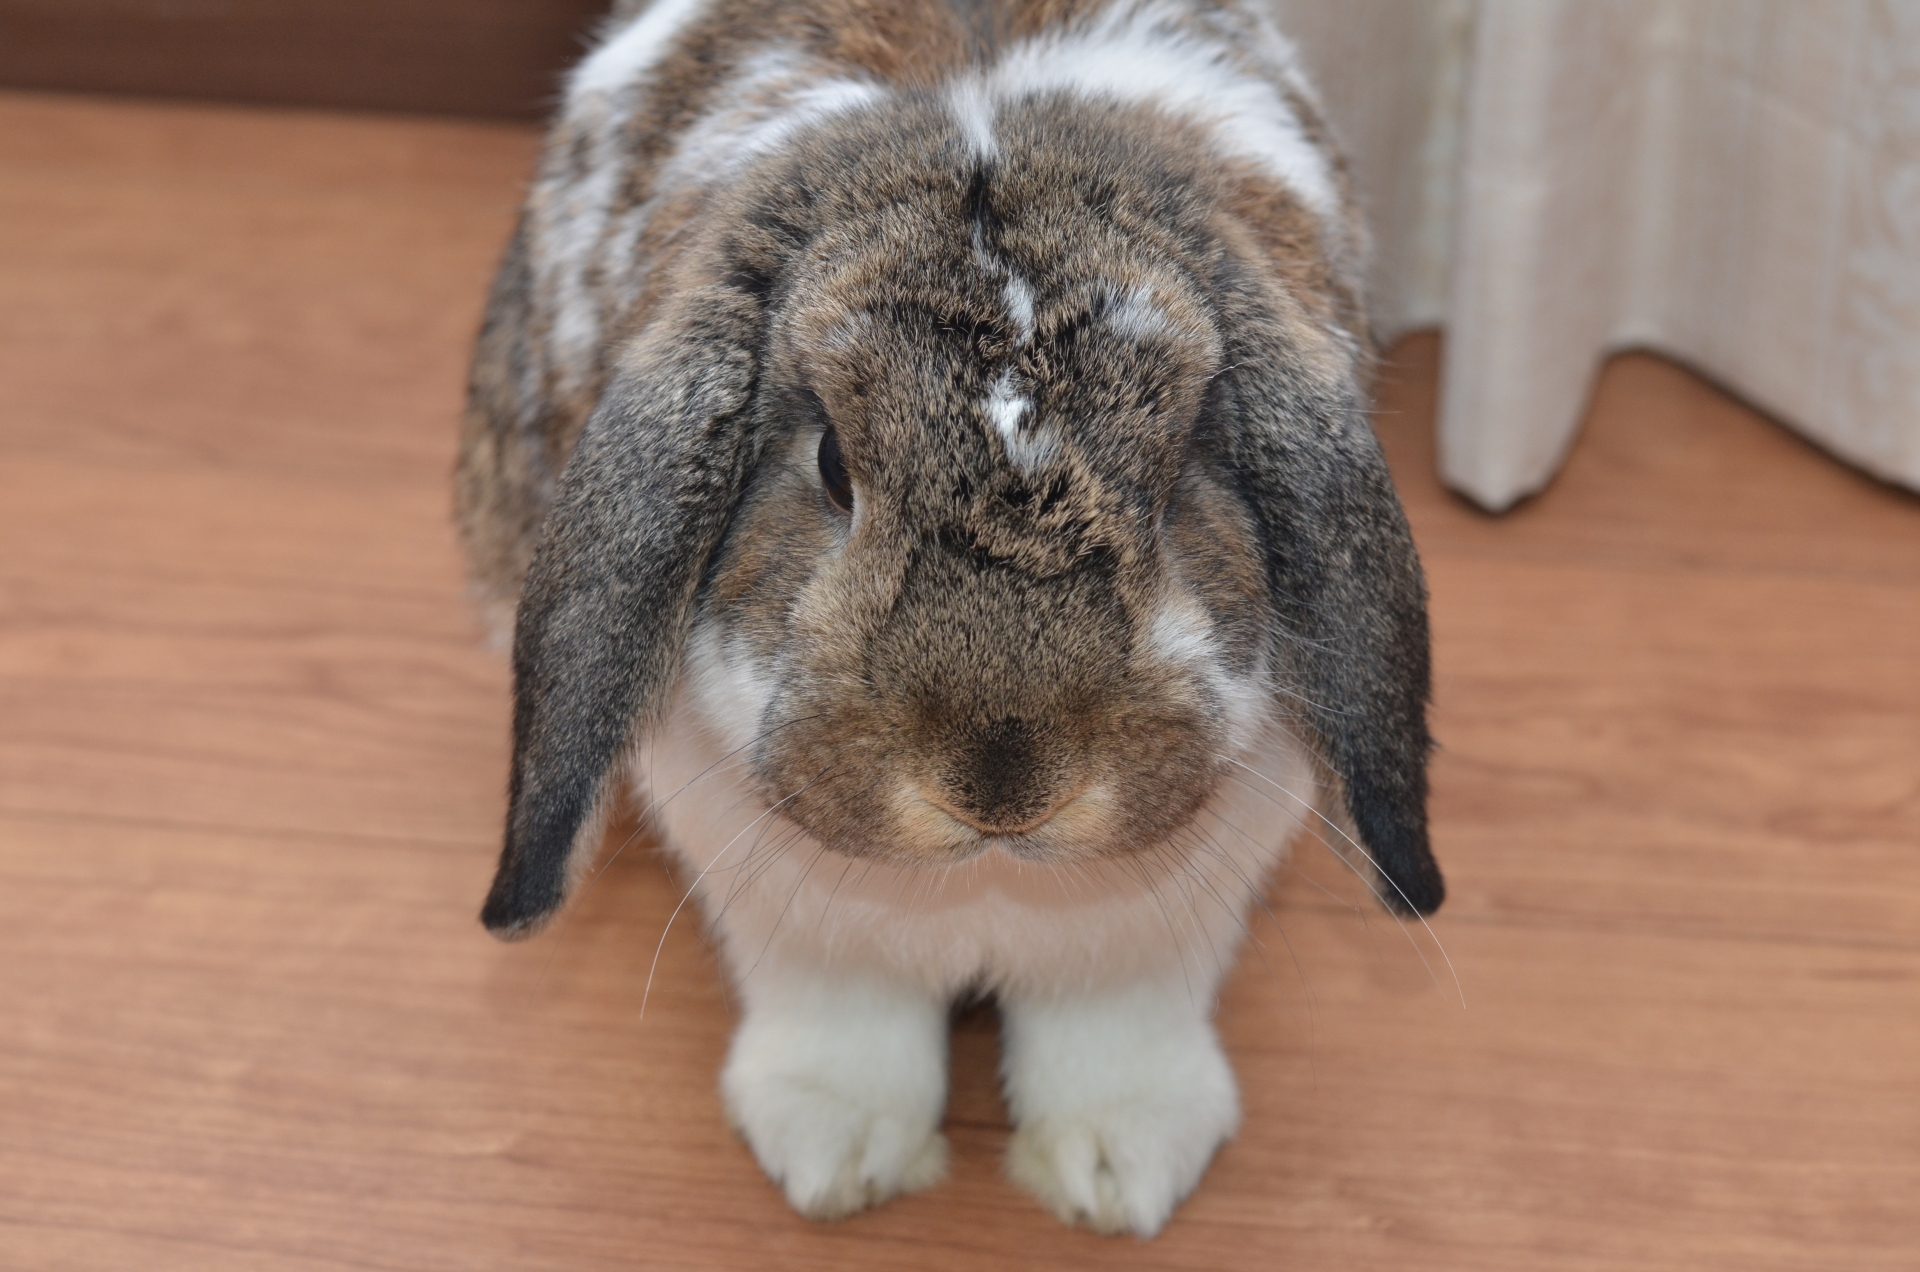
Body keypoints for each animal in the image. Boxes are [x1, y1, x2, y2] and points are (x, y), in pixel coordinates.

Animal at [456, 0, 1442, 1238]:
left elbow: (1118, 1028)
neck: (990, 878)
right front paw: (838, 1157)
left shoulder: (1162, 925)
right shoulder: (785, 910)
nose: (1003, 777)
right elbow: (844, 1022)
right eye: (833, 466)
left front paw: (1119, 1172)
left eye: (1175, 483)